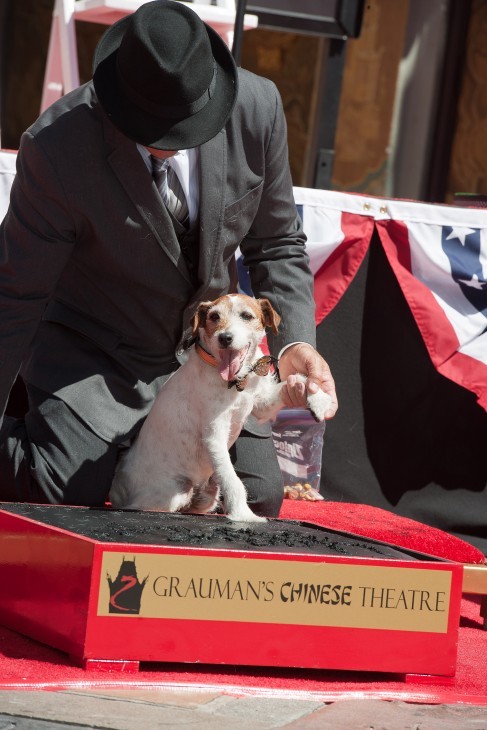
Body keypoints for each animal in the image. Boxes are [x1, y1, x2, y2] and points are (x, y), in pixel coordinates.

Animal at [110, 292, 332, 520]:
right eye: (214, 316)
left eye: (246, 315)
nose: (225, 338)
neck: (236, 382)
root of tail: (118, 485)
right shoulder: (214, 435)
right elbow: (233, 481)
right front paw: (243, 514)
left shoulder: (262, 403)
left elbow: (298, 379)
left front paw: (319, 398)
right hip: (172, 492)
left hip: (206, 494)